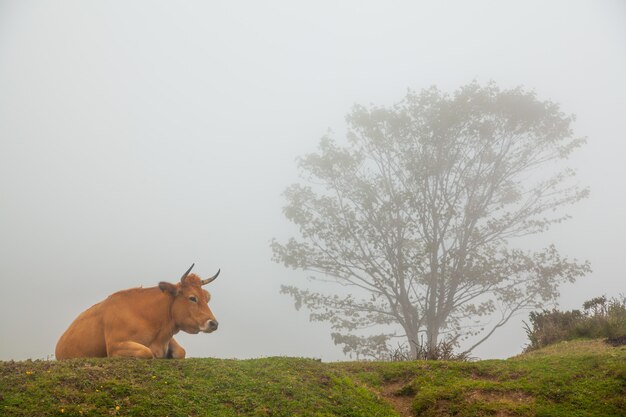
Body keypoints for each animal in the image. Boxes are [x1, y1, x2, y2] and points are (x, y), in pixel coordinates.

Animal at [54, 264, 219, 360]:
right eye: (192, 298)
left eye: (206, 298)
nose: (214, 323)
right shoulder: (114, 346)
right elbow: (147, 352)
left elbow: (181, 352)